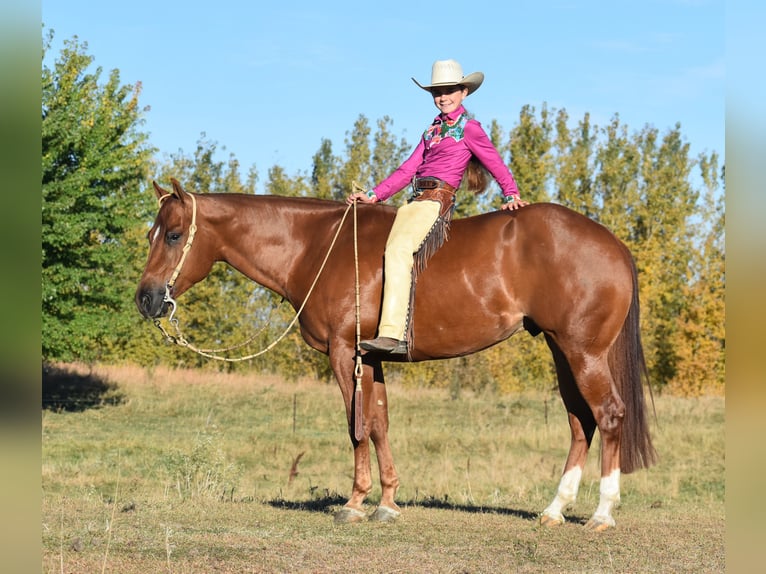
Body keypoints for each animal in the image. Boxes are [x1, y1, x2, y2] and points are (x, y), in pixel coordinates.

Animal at [135, 178, 656, 532]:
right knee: (580, 422)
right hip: (561, 351)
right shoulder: (373, 358)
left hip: (583, 352)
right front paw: (386, 501)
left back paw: (603, 513)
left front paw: (354, 503)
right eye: (150, 235)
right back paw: (554, 509)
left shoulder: (344, 353)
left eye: (175, 235)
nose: (145, 299)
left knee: (609, 415)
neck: (316, 246)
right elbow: (380, 422)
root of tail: (613, 243)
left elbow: (357, 425)